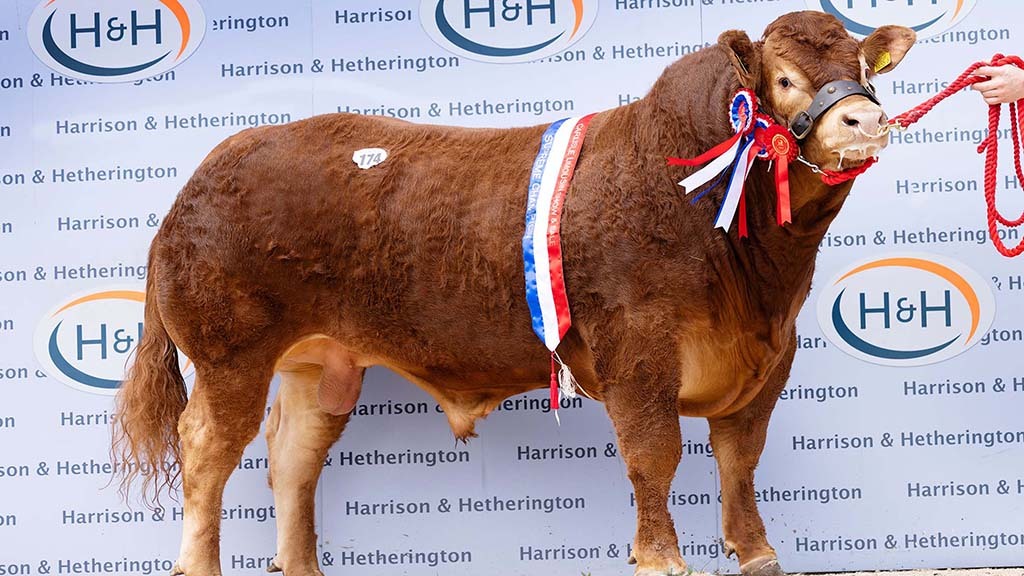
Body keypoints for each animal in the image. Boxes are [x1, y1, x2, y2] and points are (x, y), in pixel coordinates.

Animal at [112, 10, 916, 576]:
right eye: (783, 79)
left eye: (863, 69)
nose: (865, 120)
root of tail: (208, 170)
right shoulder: (638, 348)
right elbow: (654, 456)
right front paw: (661, 556)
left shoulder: (769, 357)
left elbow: (739, 461)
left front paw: (756, 553)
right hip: (230, 354)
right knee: (205, 448)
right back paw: (200, 561)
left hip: (321, 365)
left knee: (292, 456)